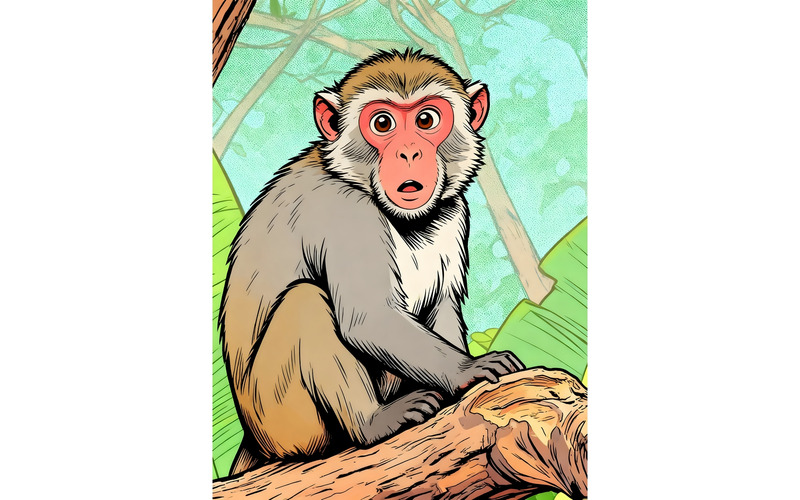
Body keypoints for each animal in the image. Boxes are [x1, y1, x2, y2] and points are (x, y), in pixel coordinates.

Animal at [219, 49, 524, 476]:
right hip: (282, 419)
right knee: (304, 302)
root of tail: (255, 442)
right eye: (382, 123)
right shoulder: (348, 211)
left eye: (426, 120)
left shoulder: (454, 212)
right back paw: (371, 424)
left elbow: (442, 306)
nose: (409, 153)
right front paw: (467, 370)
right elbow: (368, 320)